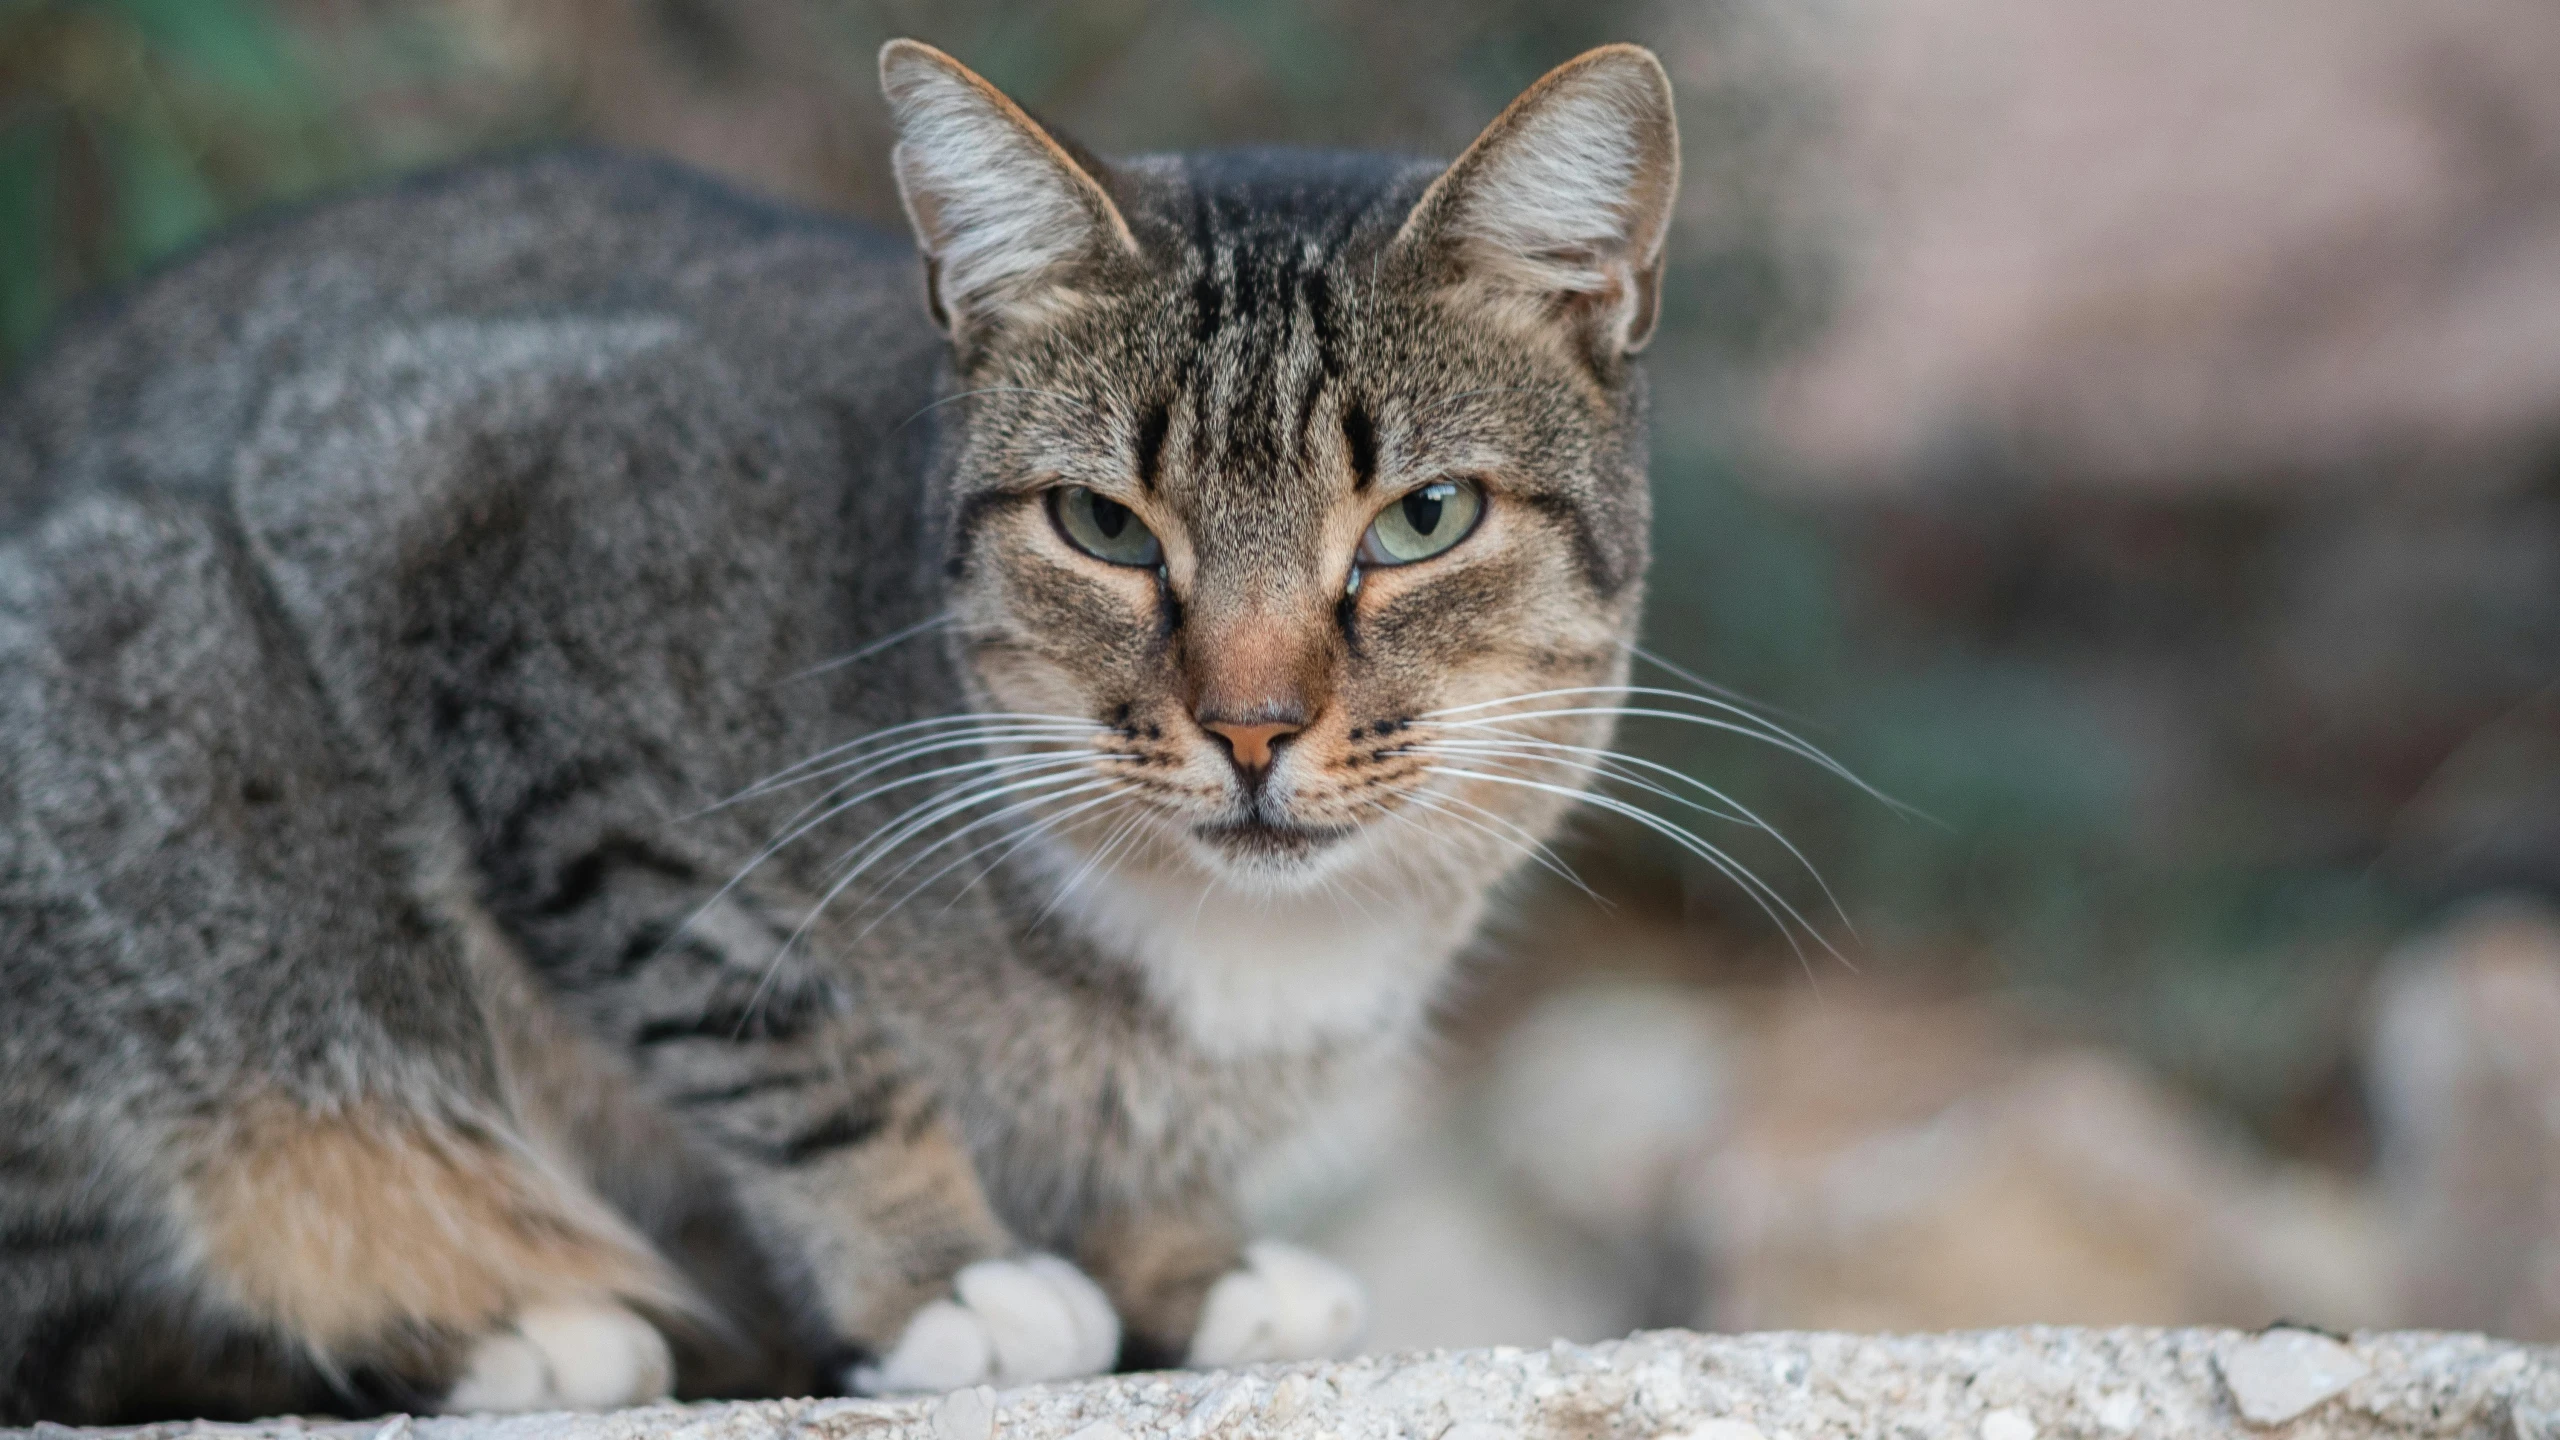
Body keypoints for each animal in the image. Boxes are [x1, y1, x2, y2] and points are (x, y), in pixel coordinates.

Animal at [0, 36, 1679, 1424]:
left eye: (1423, 519)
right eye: (1101, 526)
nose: (1251, 727)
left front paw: (1188, 1264)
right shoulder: (479, 551)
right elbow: (770, 1024)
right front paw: (939, 1274)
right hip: (136, 686)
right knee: (91, 1311)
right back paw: (507, 1328)